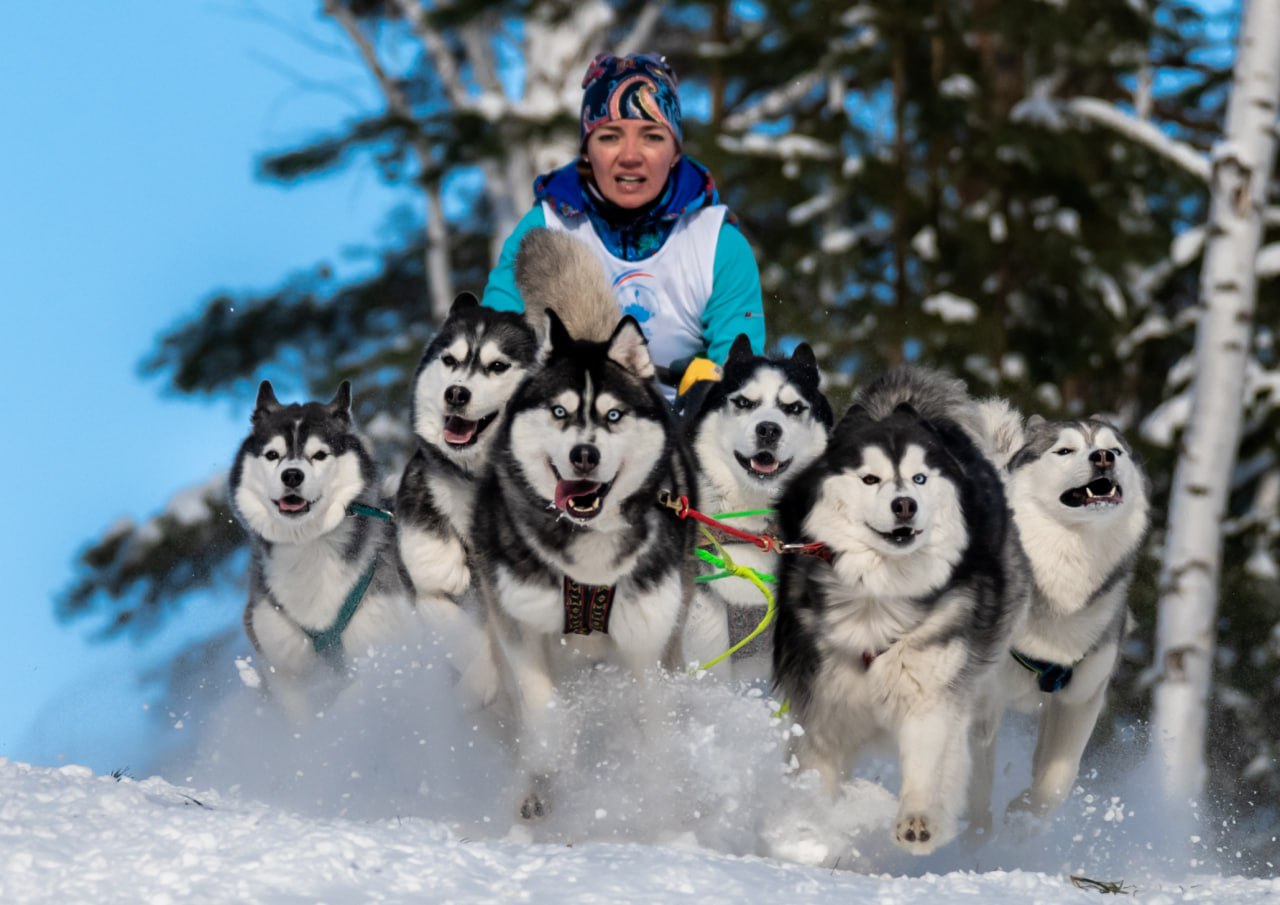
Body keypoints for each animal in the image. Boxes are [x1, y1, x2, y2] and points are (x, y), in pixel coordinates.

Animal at [471, 226, 696, 819]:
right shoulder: (520, 622)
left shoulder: (647, 645)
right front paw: (553, 759)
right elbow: (542, 710)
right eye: (560, 412)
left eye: (613, 415)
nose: (584, 455)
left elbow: (657, 735)